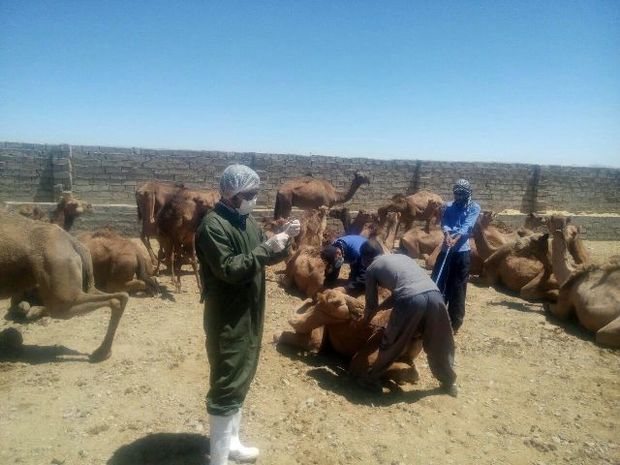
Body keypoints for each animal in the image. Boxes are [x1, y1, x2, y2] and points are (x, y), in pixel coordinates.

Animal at [0, 208, 128, 360]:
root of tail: (73, 242)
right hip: (80, 280)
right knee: (120, 295)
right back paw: (103, 352)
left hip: (58, 276)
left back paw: (100, 353)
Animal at [548, 216, 620, 346]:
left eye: (552, 219)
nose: (545, 218)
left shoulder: (565, 300)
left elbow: (553, 308)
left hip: (608, 330)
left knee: (601, 334)